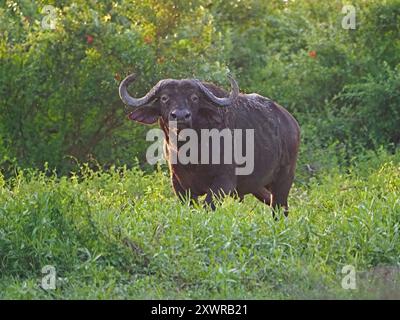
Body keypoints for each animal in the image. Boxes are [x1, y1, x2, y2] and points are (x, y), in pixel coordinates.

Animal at [119, 74, 300, 216]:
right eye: (164, 98)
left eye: (194, 97)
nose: (181, 116)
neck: (191, 153)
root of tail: (291, 123)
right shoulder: (179, 185)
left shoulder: (224, 182)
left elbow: (208, 207)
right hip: (259, 187)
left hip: (284, 180)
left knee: (280, 209)